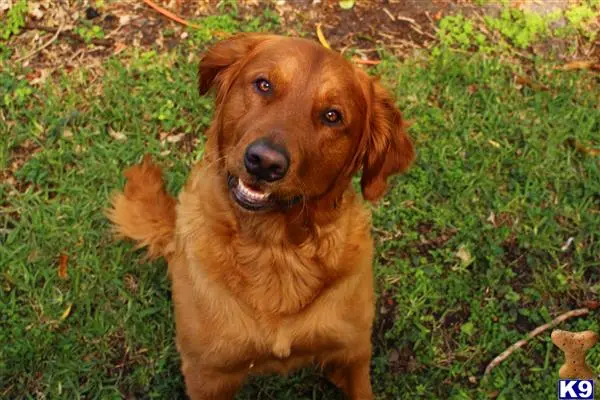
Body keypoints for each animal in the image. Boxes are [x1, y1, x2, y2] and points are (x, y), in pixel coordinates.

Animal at [108, 32, 414, 398]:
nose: (265, 162)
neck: (276, 250)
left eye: (332, 116)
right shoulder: (206, 374)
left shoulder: (352, 356)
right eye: (264, 84)